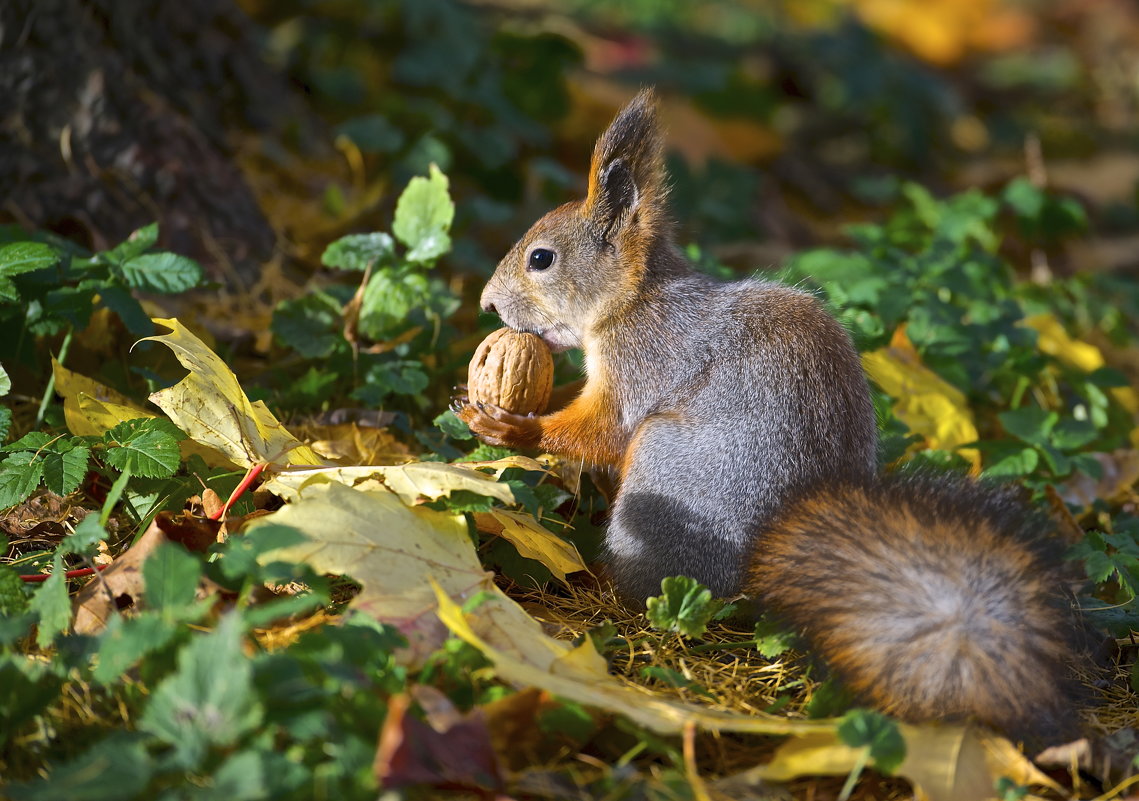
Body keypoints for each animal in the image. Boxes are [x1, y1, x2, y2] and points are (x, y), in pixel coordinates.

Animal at [455, 89, 1084, 747]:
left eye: (541, 258)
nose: (487, 305)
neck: (635, 301)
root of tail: (768, 556)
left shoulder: (646, 361)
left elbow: (603, 429)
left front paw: (511, 426)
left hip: (666, 472)